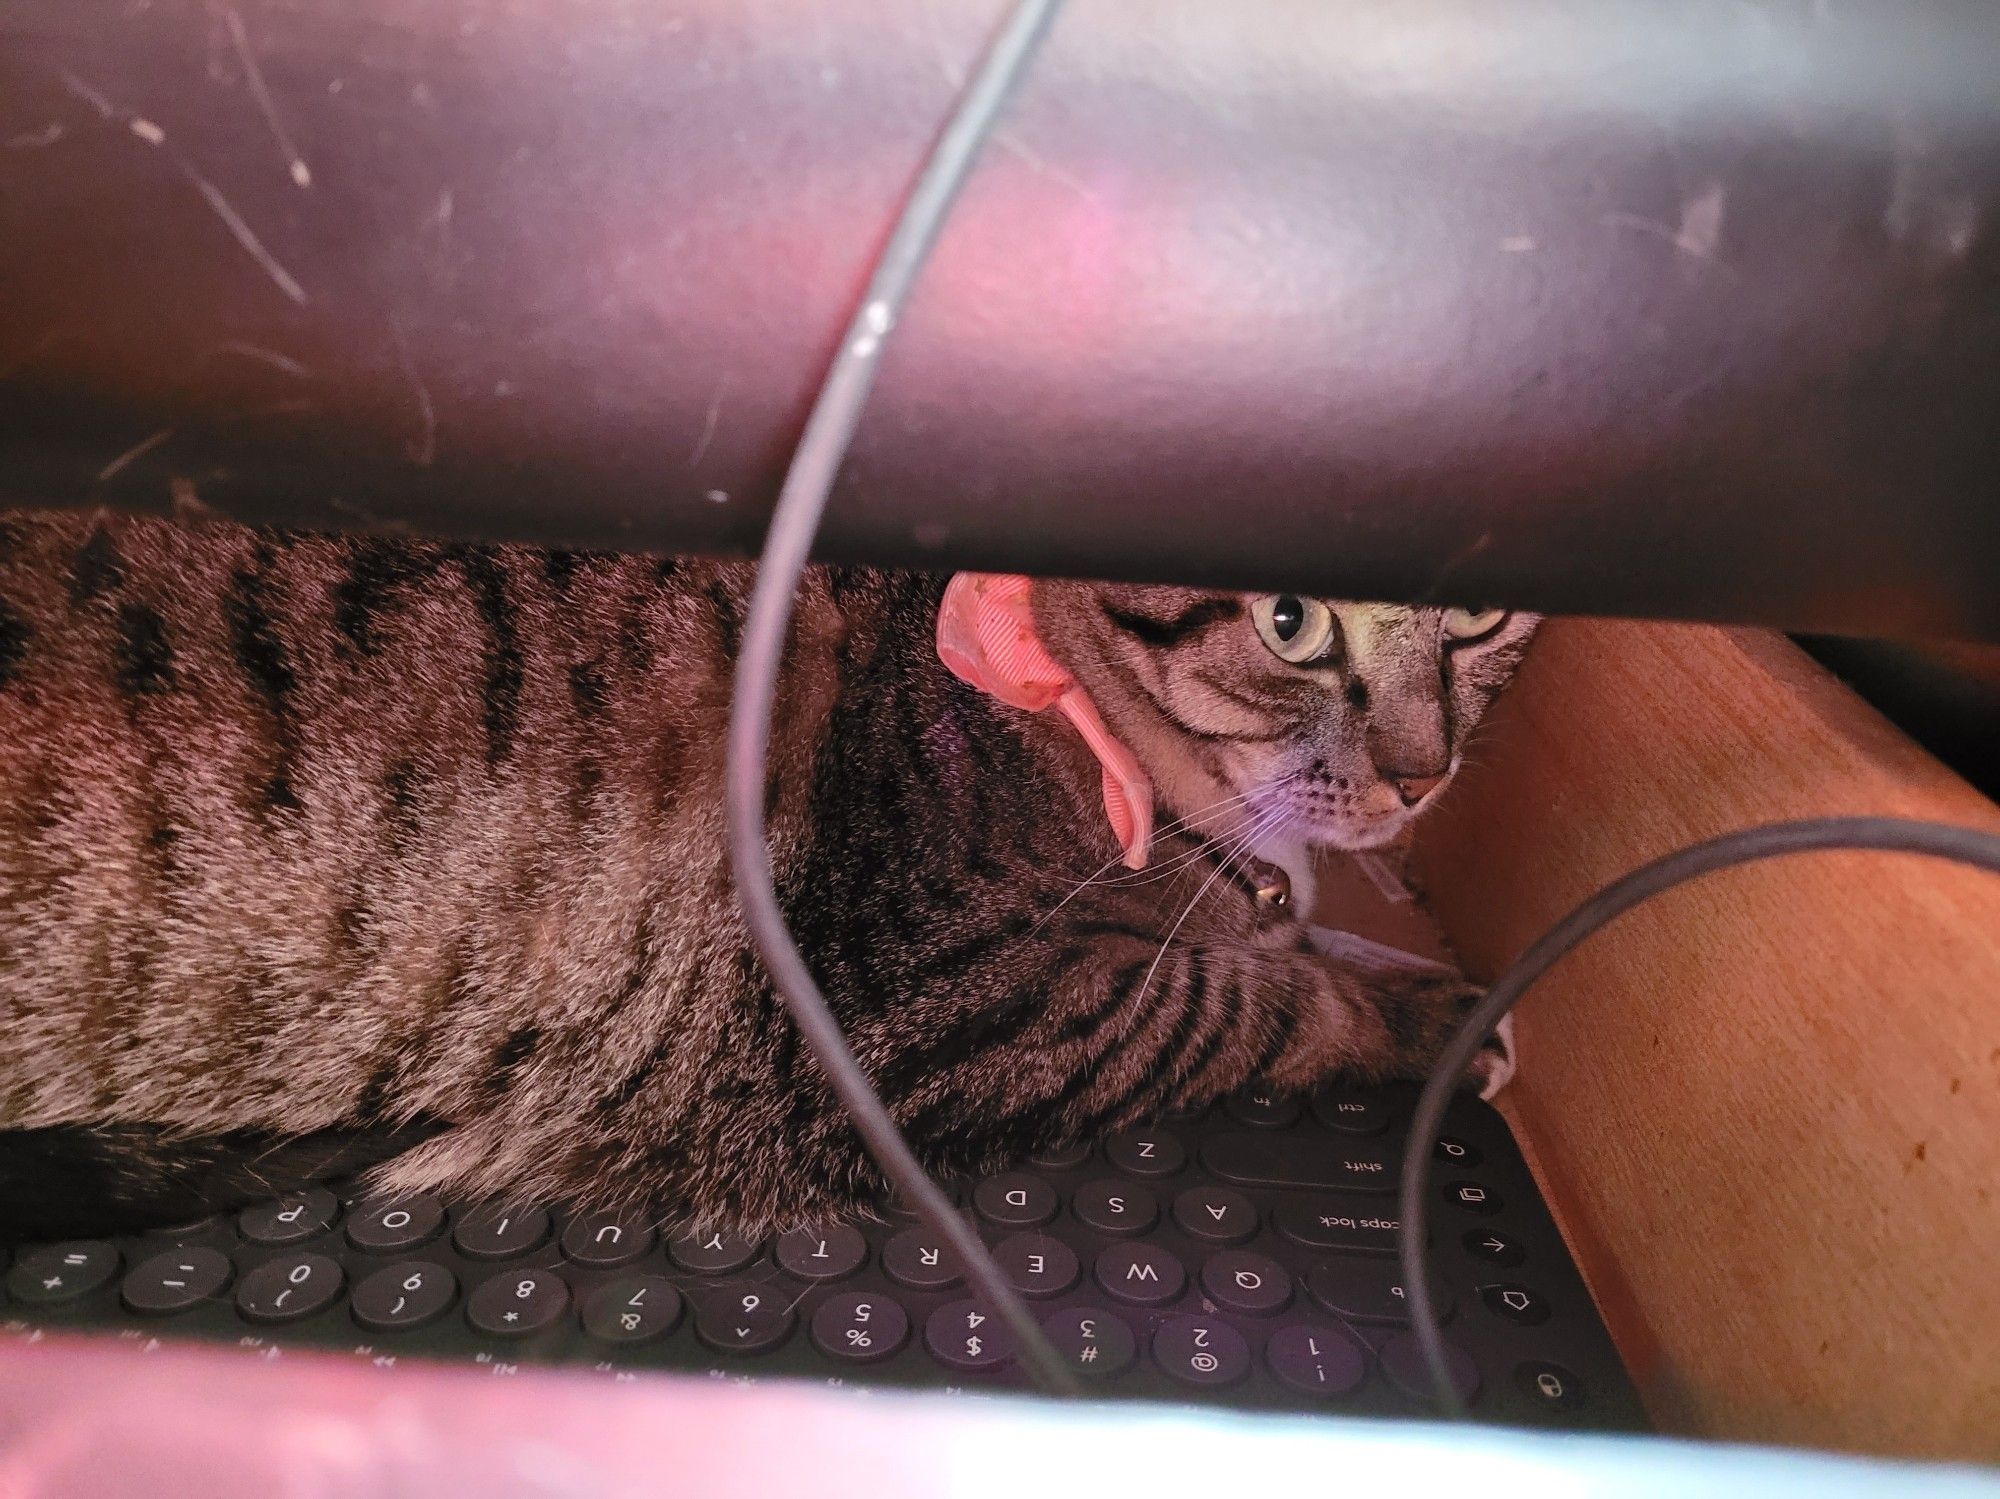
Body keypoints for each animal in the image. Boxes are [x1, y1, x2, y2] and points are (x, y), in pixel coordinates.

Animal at [0, 511, 1536, 1239]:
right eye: (1289, 620)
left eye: (1480, 614)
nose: (1425, 774)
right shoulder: (904, 1016)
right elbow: (1253, 1000)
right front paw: (1434, 1009)